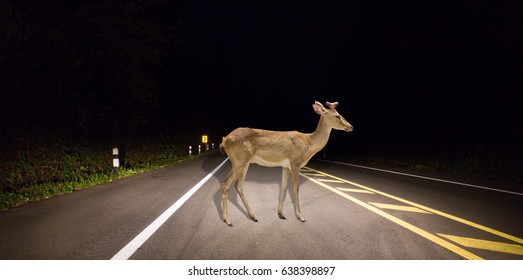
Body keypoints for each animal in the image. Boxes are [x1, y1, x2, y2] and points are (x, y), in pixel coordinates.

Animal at [219, 101, 354, 226]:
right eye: (337, 116)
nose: (351, 126)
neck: (309, 143)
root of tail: (225, 140)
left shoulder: (285, 166)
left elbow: (283, 187)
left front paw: (281, 214)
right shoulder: (295, 163)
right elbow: (295, 188)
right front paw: (301, 217)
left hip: (245, 163)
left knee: (239, 186)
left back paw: (253, 216)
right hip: (239, 161)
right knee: (225, 183)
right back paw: (227, 220)